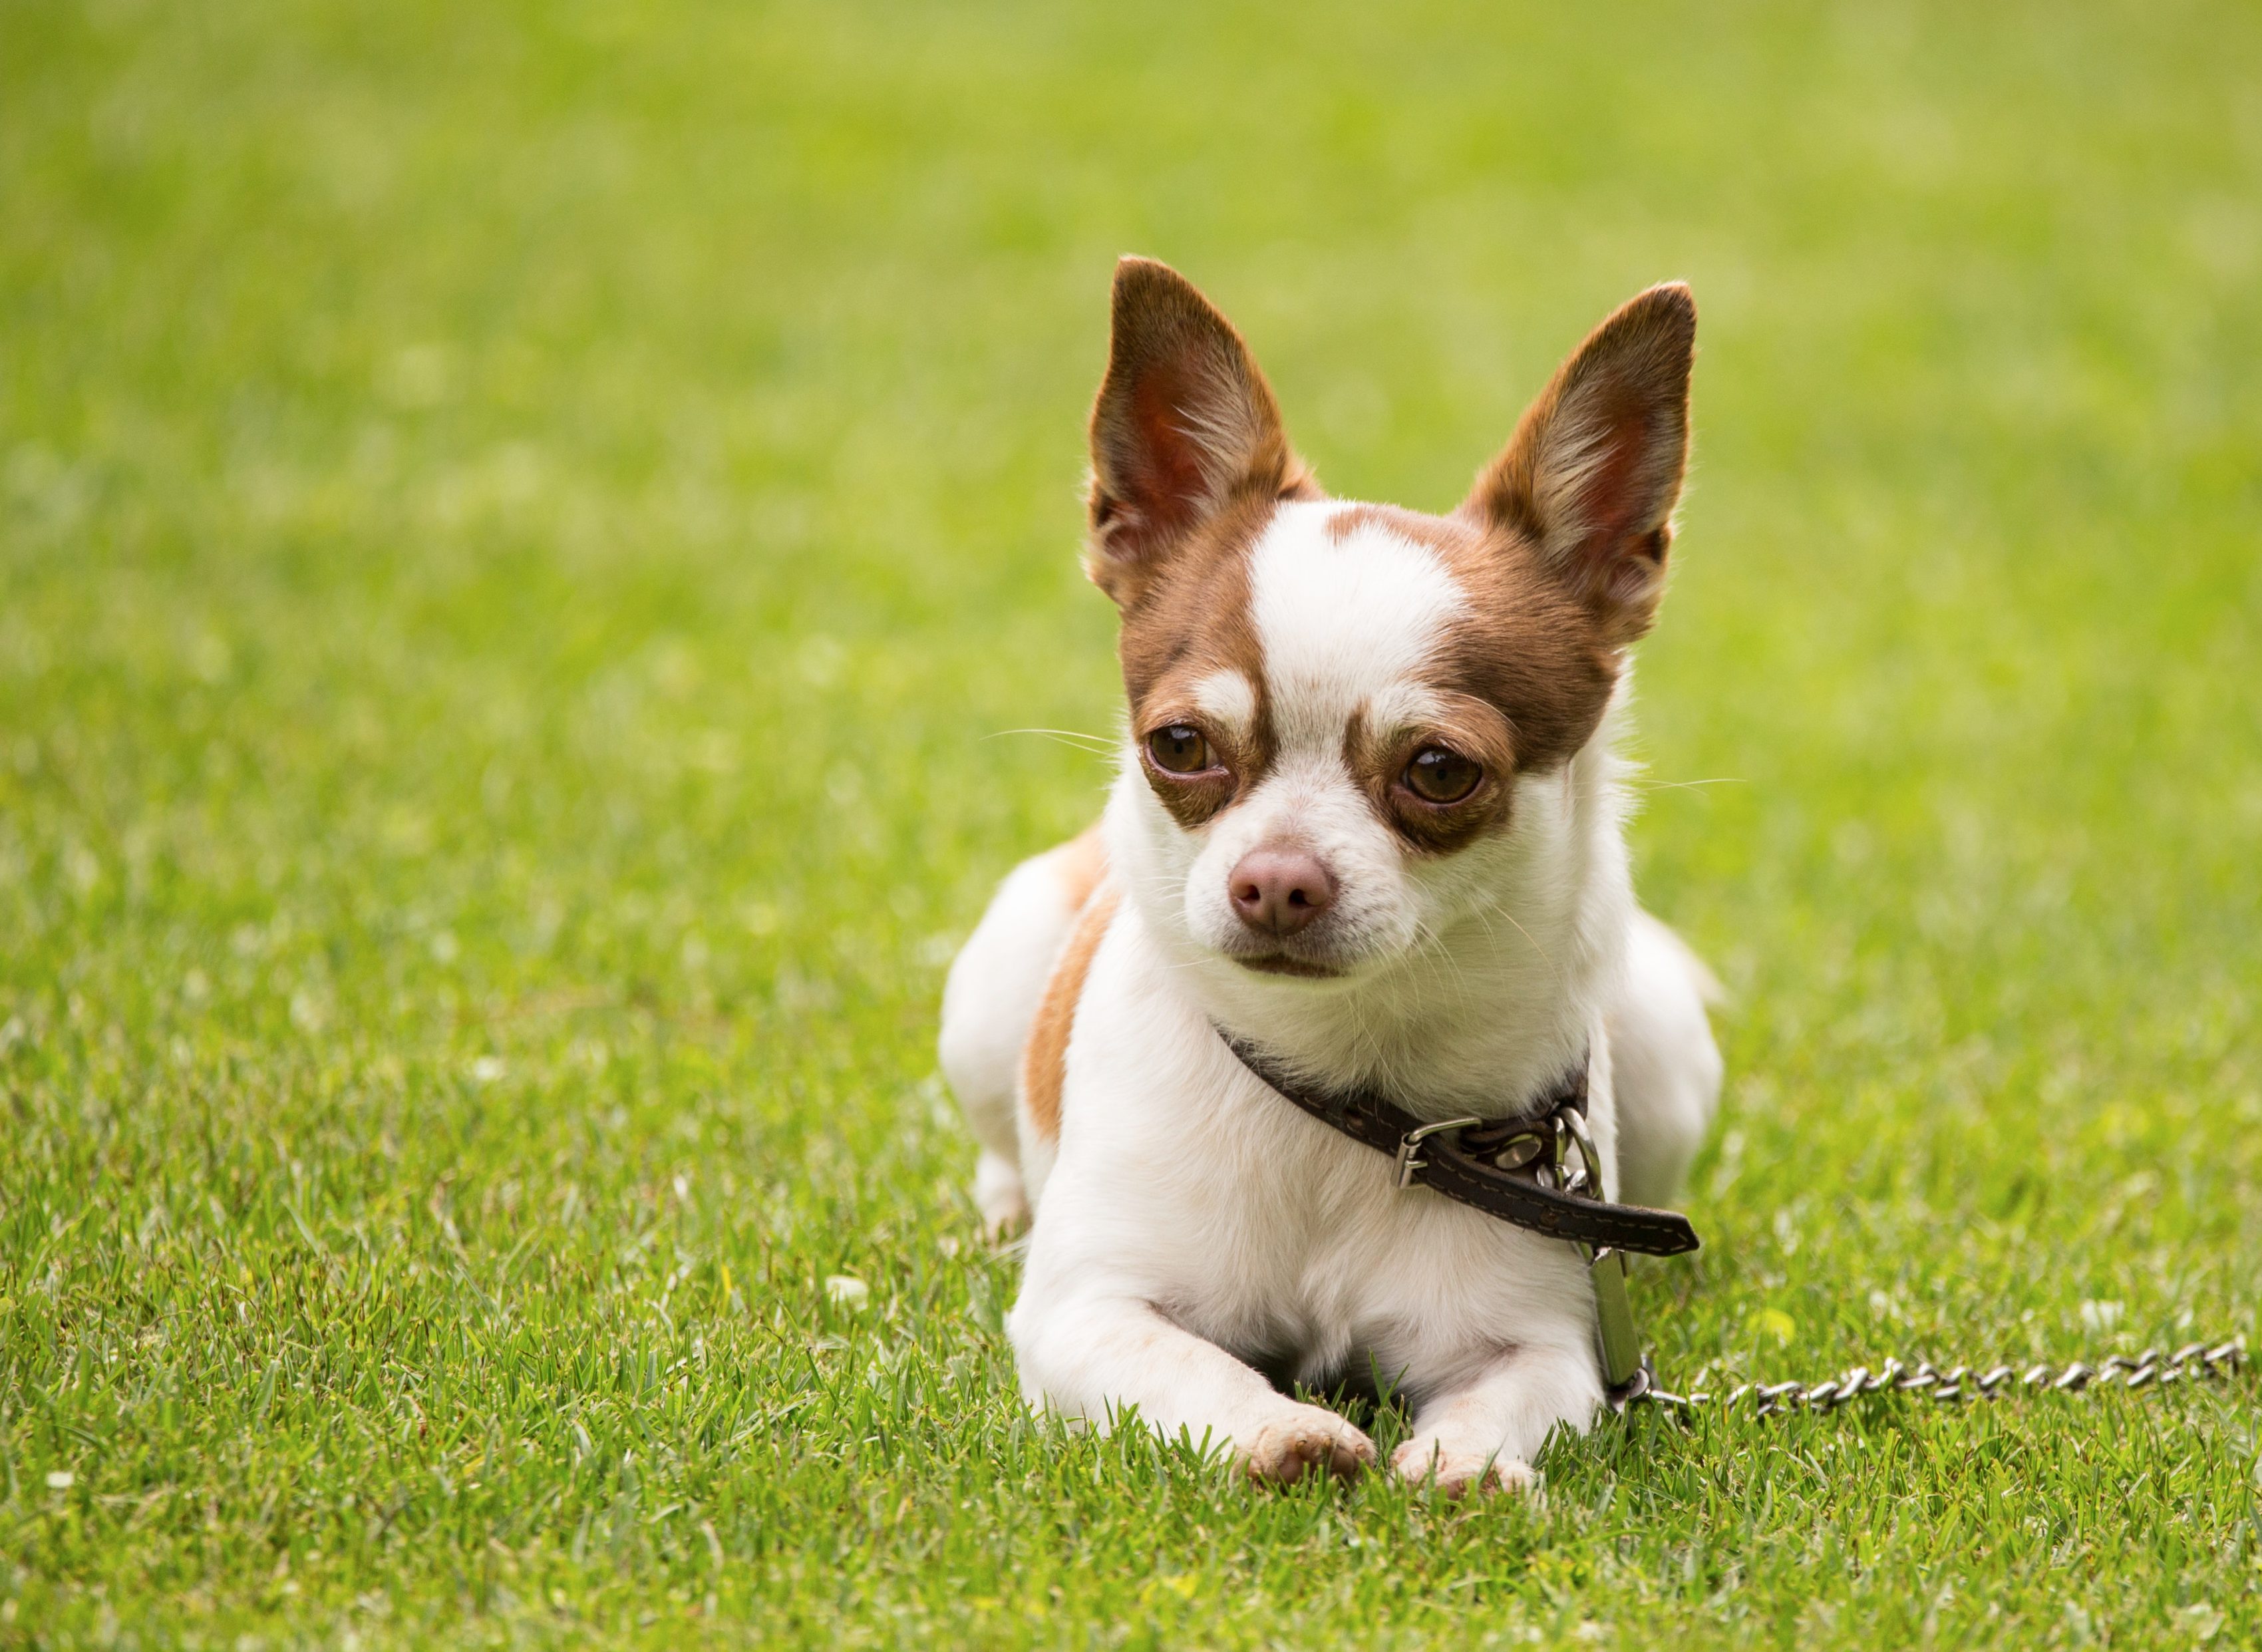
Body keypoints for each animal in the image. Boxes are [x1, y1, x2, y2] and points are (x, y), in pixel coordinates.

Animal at [936, 260, 1710, 1493]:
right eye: (1180, 744)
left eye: (1440, 769)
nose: (1276, 881)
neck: (1346, 1088)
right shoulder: (1085, 1313)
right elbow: (1189, 1369)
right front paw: (1280, 1430)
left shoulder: (1538, 1339)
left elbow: (1515, 1400)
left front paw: (1465, 1464)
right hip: (992, 984)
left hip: (1667, 1047)